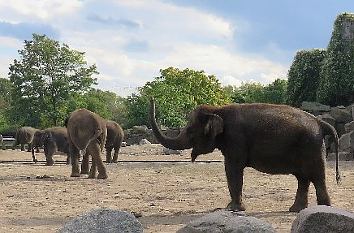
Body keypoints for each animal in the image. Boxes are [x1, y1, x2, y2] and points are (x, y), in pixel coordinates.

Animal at [149, 98, 340, 213]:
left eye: (189, 130)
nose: (151, 98)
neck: (218, 109)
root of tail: (321, 122)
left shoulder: (236, 139)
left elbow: (232, 169)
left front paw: (232, 209)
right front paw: (233, 207)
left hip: (311, 147)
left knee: (317, 177)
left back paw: (324, 209)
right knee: (303, 178)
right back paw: (296, 210)